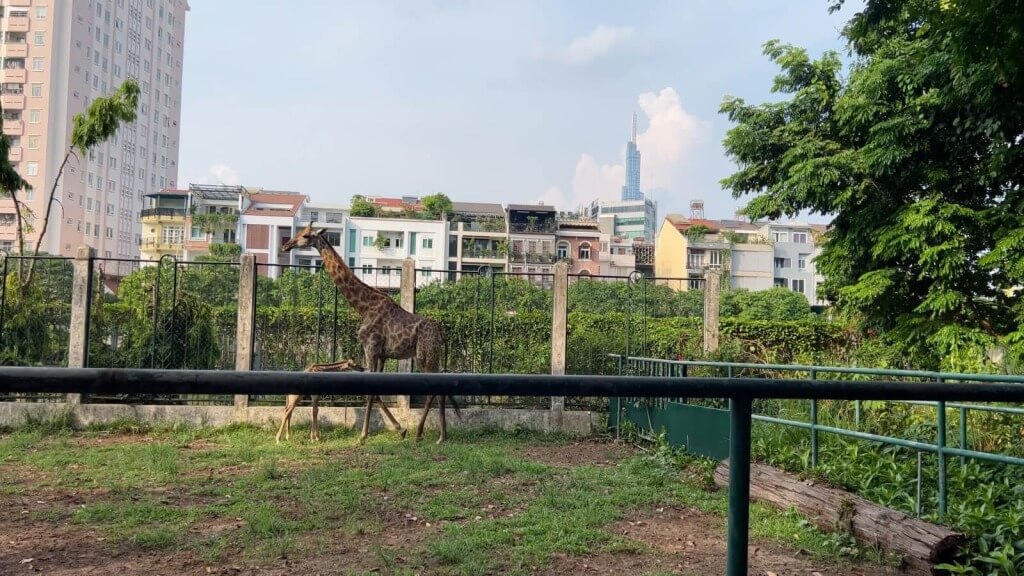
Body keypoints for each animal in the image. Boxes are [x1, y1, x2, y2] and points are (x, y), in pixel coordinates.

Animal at [278, 222, 458, 440]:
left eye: (306, 235)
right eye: (299, 232)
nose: (286, 245)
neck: (363, 307)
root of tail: (441, 333)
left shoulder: (370, 348)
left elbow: (370, 391)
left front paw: (364, 434)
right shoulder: (381, 355)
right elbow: (377, 391)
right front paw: (400, 428)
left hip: (425, 356)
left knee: (433, 390)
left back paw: (425, 433)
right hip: (433, 356)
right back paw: (441, 436)